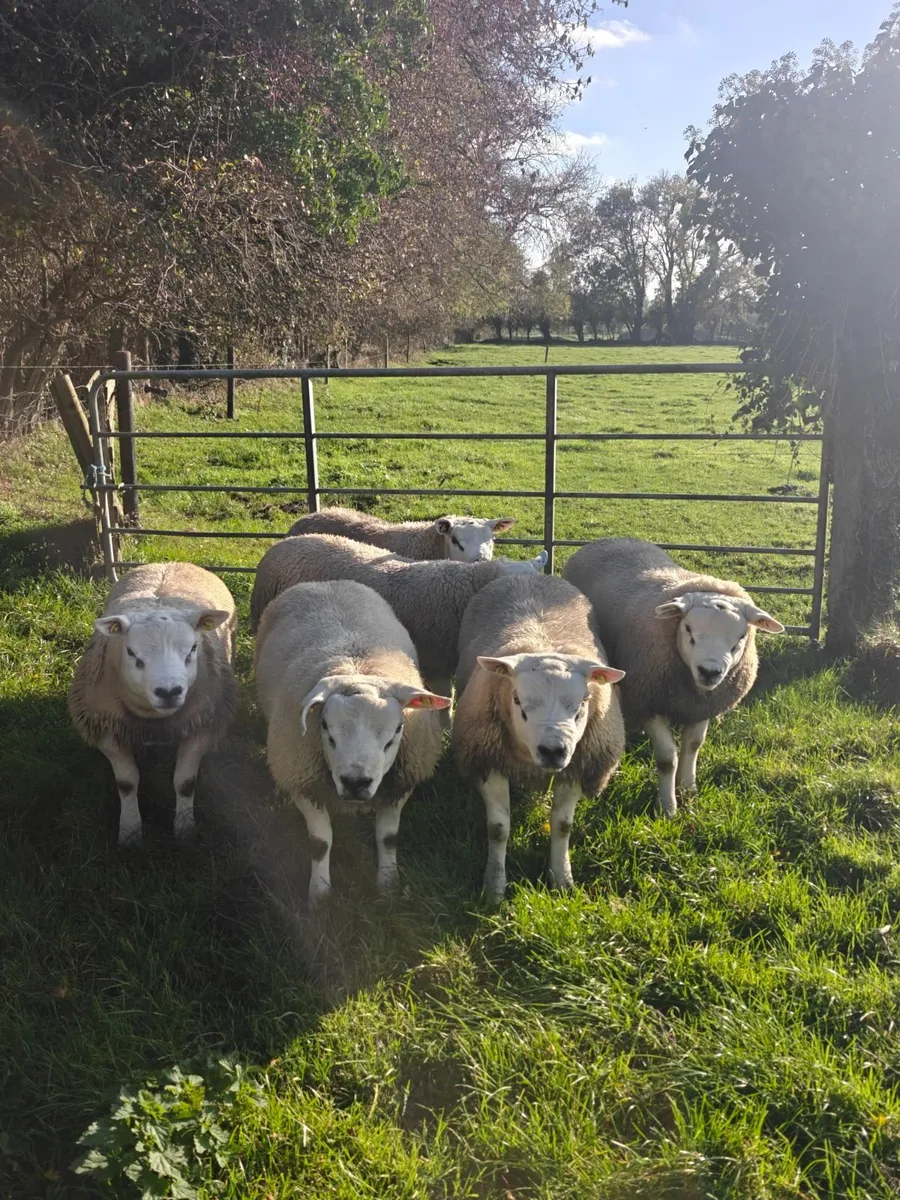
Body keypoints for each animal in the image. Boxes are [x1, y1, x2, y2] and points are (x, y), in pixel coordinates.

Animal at [68, 562, 238, 843]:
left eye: (193, 648)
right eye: (131, 652)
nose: (169, 691)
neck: (153, 719)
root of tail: (169, 562)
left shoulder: (200, 725)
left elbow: (185, 783)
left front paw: (184, 829)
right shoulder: (106, 728)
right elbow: (126, 784)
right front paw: (130, 832)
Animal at [254, 579, 451, 903]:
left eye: (397, 731)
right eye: (325, 728)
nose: (356, 783)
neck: (359, 669)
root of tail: (325, 583)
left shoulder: (400, 783)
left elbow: (389, 837)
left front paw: (388, 883)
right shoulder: (303, 780)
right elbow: (320, 842)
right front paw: (319, 894)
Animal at [452, 574, 626, 902]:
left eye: (583, 703)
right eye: (517, 700)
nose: (553, 750)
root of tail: (530, 575)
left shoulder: (577, 764)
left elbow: (563, 825)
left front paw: (562, 879)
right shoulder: (489, 759)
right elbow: (498, 828)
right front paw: (494, 887)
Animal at [562, 538, 785, 816]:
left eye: (741, 637)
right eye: (688, 629)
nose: (710, 671)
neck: (691, 689)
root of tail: (610, 539)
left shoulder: (701, 707)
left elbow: (693, 746)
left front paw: (688, 789)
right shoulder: (648, 702)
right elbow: (667, 758)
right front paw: (667, 806)